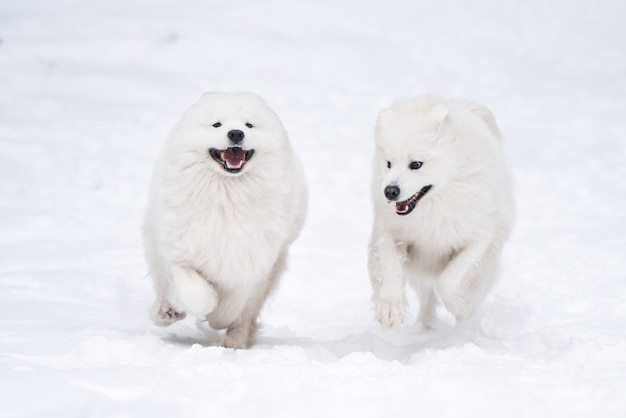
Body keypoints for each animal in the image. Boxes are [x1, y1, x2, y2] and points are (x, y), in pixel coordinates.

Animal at [142, 92, 308, 350]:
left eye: (249, 124)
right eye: (217, 124)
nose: (236, 133)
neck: (226, 194)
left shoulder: (251, 261)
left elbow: (234, 305)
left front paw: (220, 319)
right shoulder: (178, 252)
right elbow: (194, 291)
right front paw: (204, 304)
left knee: (247, 316)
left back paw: (233, 342)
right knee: (162, 285)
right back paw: (166, 312)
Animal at [366, 94, 512, 330]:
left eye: (416, 164)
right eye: (388, 163)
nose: (389, 191)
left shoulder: (479, 239)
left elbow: (449, 281)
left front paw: (461, 308)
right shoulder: (389, 232)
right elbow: (389, 269)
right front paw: (390, 310)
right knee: (427, 298)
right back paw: (424, 327)